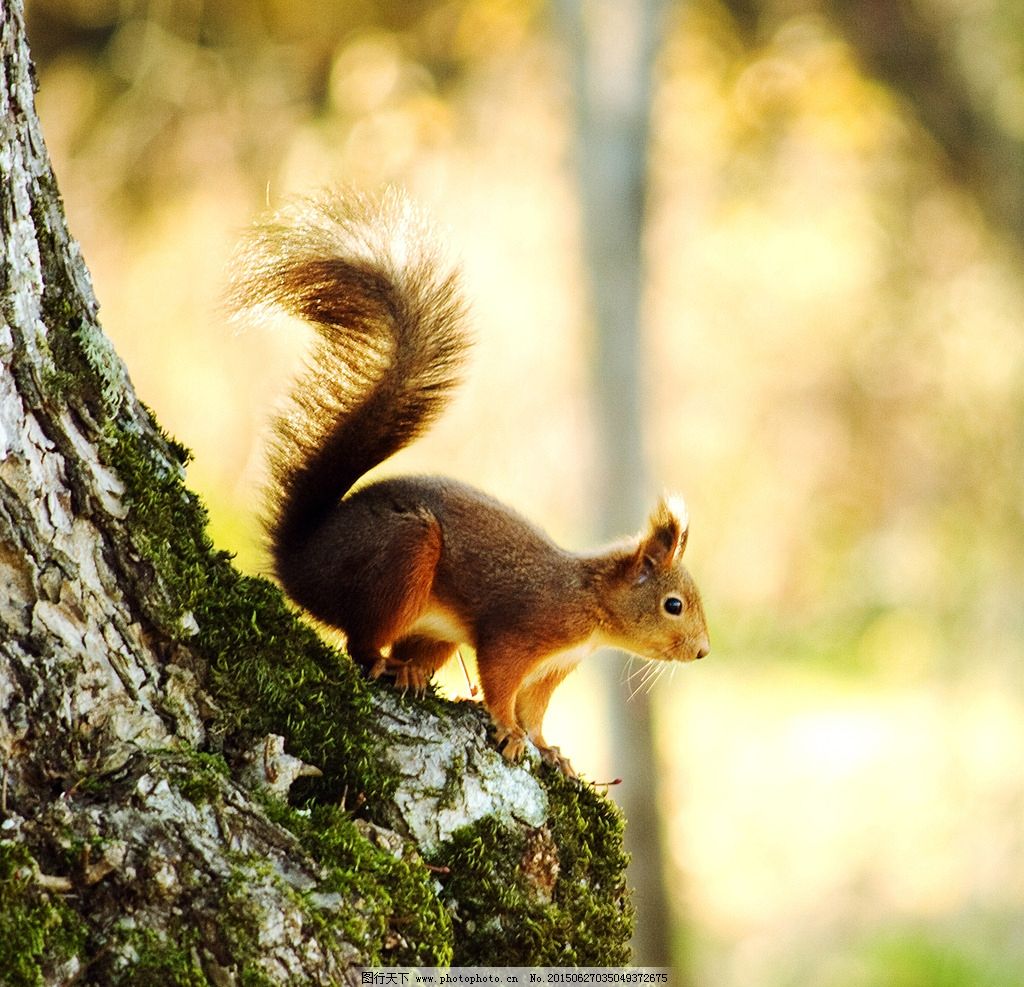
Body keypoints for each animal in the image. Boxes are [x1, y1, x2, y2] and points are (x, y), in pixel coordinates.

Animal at [230, 189, 712, 778]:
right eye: (674, 605)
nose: (702, 651)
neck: (591, 604)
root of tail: (299, 562)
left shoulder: (554, 668)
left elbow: (536, 709)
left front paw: (549, 748)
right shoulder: (522, 632)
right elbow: (501, 682)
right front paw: (507, 731)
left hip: (433, 625)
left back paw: (411, 670)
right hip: (403, 557)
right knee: (360, 643)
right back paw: (386, 665)